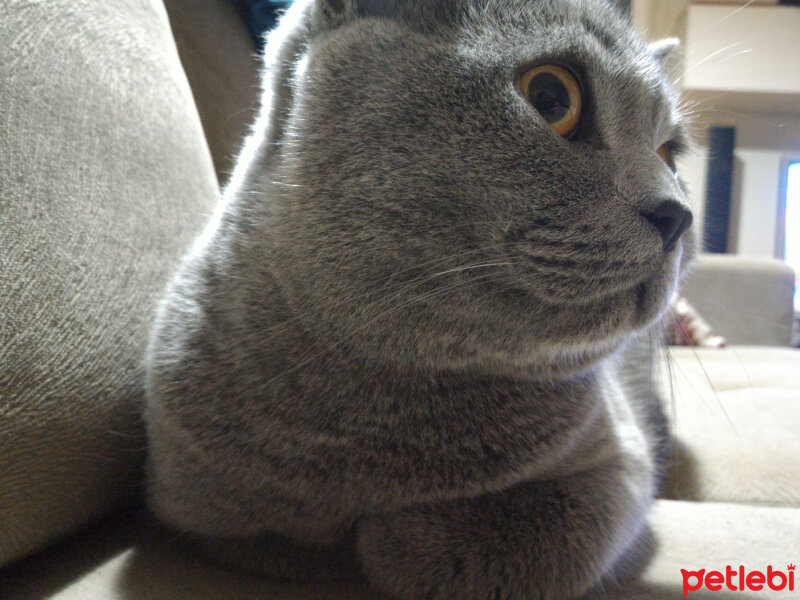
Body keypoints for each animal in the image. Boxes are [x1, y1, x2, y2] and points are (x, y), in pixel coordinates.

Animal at [144, 2, 692, 596]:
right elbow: (259, 535)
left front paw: (395, 538)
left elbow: (541, 540)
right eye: (551, 97)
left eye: (669, 154)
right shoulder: (187, 491)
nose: (680, 214)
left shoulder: (619, 463)